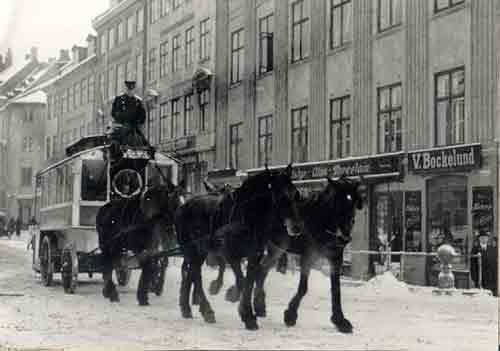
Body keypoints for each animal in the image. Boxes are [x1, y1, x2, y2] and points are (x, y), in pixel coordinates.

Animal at [174, 165, 302, 330]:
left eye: (296, 194)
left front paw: (248, 309)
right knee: (195, 274)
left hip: (199, 251)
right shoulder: (230, 254)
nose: (296, 227)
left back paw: (187, 308)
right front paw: (246, 314)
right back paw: (206, 310)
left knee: (191, 272)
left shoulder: (255, 255)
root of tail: (182, 207)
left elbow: (250, 280)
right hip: (192, 249)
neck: (248, 218)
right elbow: (242, 281)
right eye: (280, 197)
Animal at [215, 177, 364, 334]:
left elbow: (336, 291)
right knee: (243, 263)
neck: (320, 221)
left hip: (277, 249)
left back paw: (258, 305)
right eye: (336, 202)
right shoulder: (308, 256)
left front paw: (340, 320)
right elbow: (303, 288)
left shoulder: (336, 258)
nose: (345, 238)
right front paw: (290, 315)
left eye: (354, 203)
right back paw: (236, 295)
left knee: (261, 269)